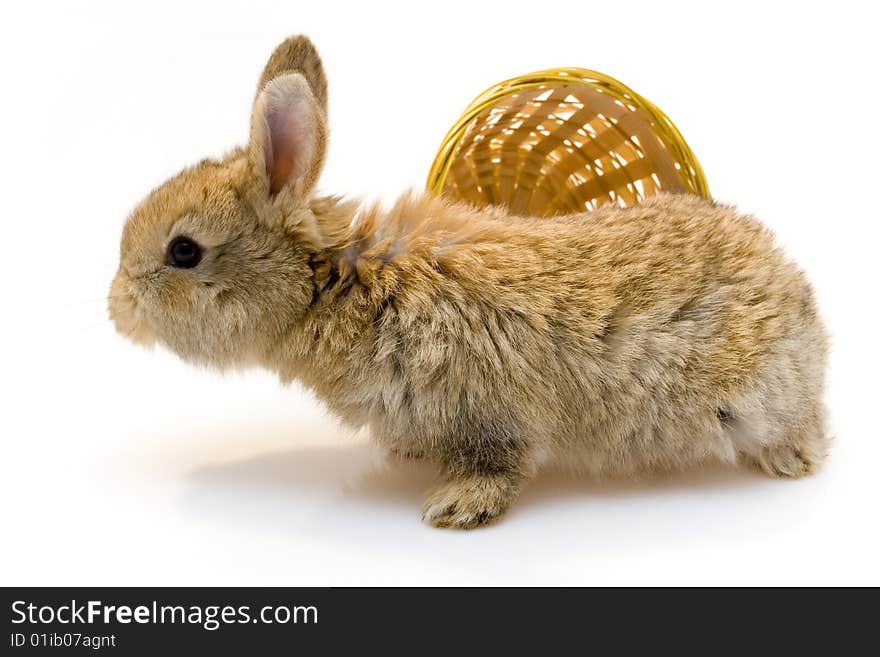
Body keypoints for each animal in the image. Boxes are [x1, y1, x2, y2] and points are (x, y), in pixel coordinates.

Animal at [106, 34, 828, 528]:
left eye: (183, 251)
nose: (116, 308)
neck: (338, 283)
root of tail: (802, 304)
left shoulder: (487, 413)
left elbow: (498, 465)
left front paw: (452, 508)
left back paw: (792, 460)